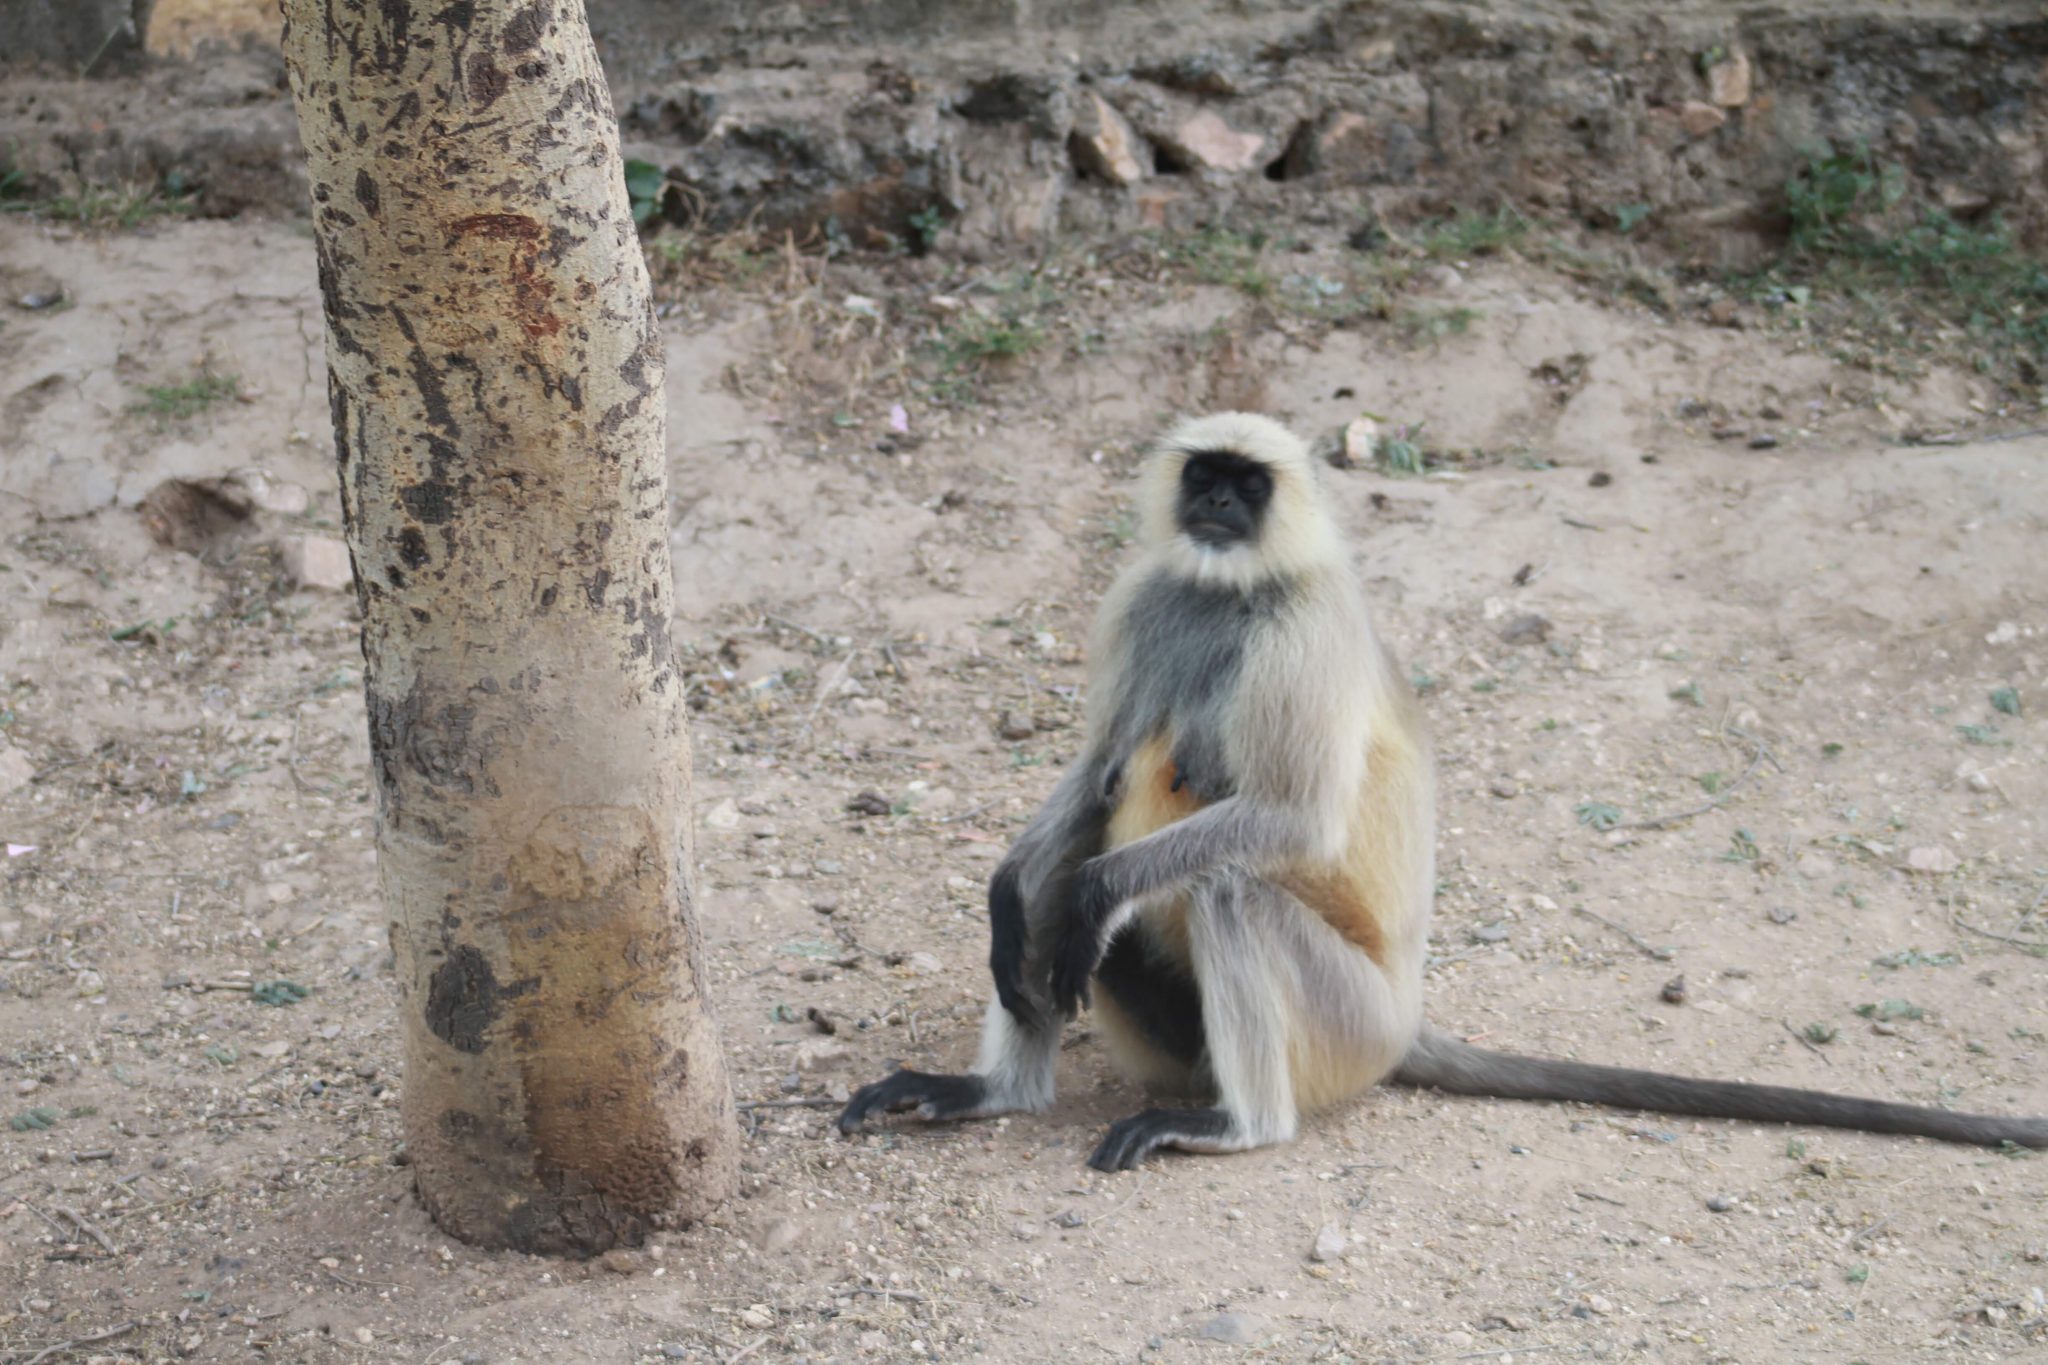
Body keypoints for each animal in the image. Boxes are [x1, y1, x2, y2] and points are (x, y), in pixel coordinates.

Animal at [835, 411, 2048, 1170]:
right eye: (1202, 477)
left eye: (1250, 484)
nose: (1219, 502)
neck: (1233, 593)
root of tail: (1404, 1019)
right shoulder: (1148, 599)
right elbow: (1091, 784)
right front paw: (1008, 896)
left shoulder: (1307, 629)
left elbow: (1285, 820)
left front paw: (1098, 895)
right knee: (1075, 880)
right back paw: (998, 1090)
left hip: (1346, 1023)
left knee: (1222, 889)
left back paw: (1240, 1128)